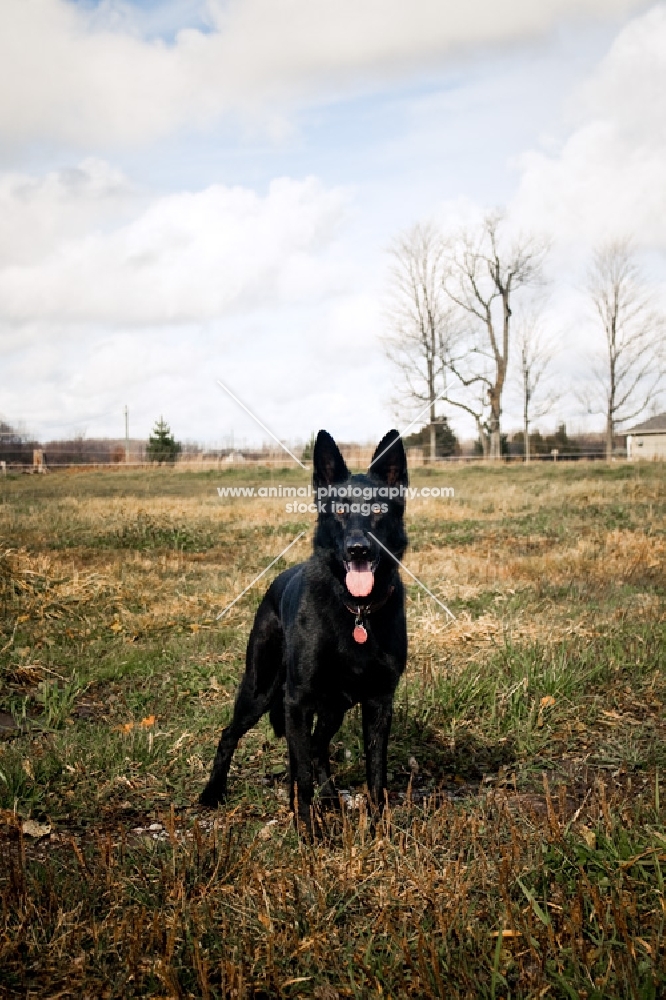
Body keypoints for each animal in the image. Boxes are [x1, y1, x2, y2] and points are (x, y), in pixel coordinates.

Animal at [198, 430, 404, 828]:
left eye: (377, 511)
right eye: (339, 511)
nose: (358, 550)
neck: (356, 610)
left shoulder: (378, 702)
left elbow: (376, 775)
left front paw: (379, 831)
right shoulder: (297, 701)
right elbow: (302, 777)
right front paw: (309, 833)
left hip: (334, 706)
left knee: (318, 746)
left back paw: (331, 799)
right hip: (259, 690)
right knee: (231, 735)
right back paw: (212, 793)